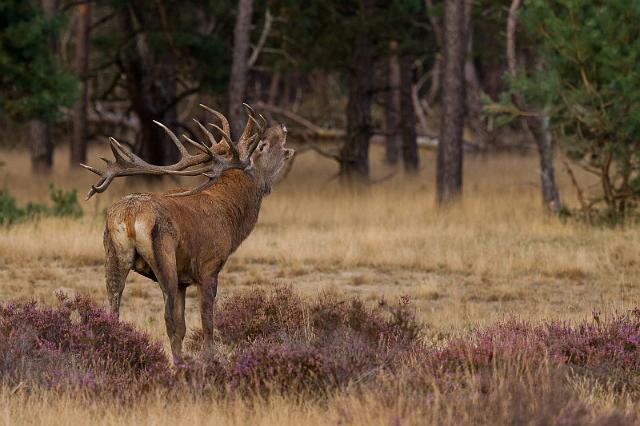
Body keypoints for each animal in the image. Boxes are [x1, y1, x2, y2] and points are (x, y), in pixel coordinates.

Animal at [80, 103, 298, 360]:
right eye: (262, 144)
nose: (282, 126)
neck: (231, 218)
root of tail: (130, 214)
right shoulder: (209, 266)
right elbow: (207, 324)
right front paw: (209, 359)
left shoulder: (184, 280)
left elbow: (184, 327)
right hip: (164, 258)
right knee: (167, 320)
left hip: (112, 257)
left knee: (113, 311)